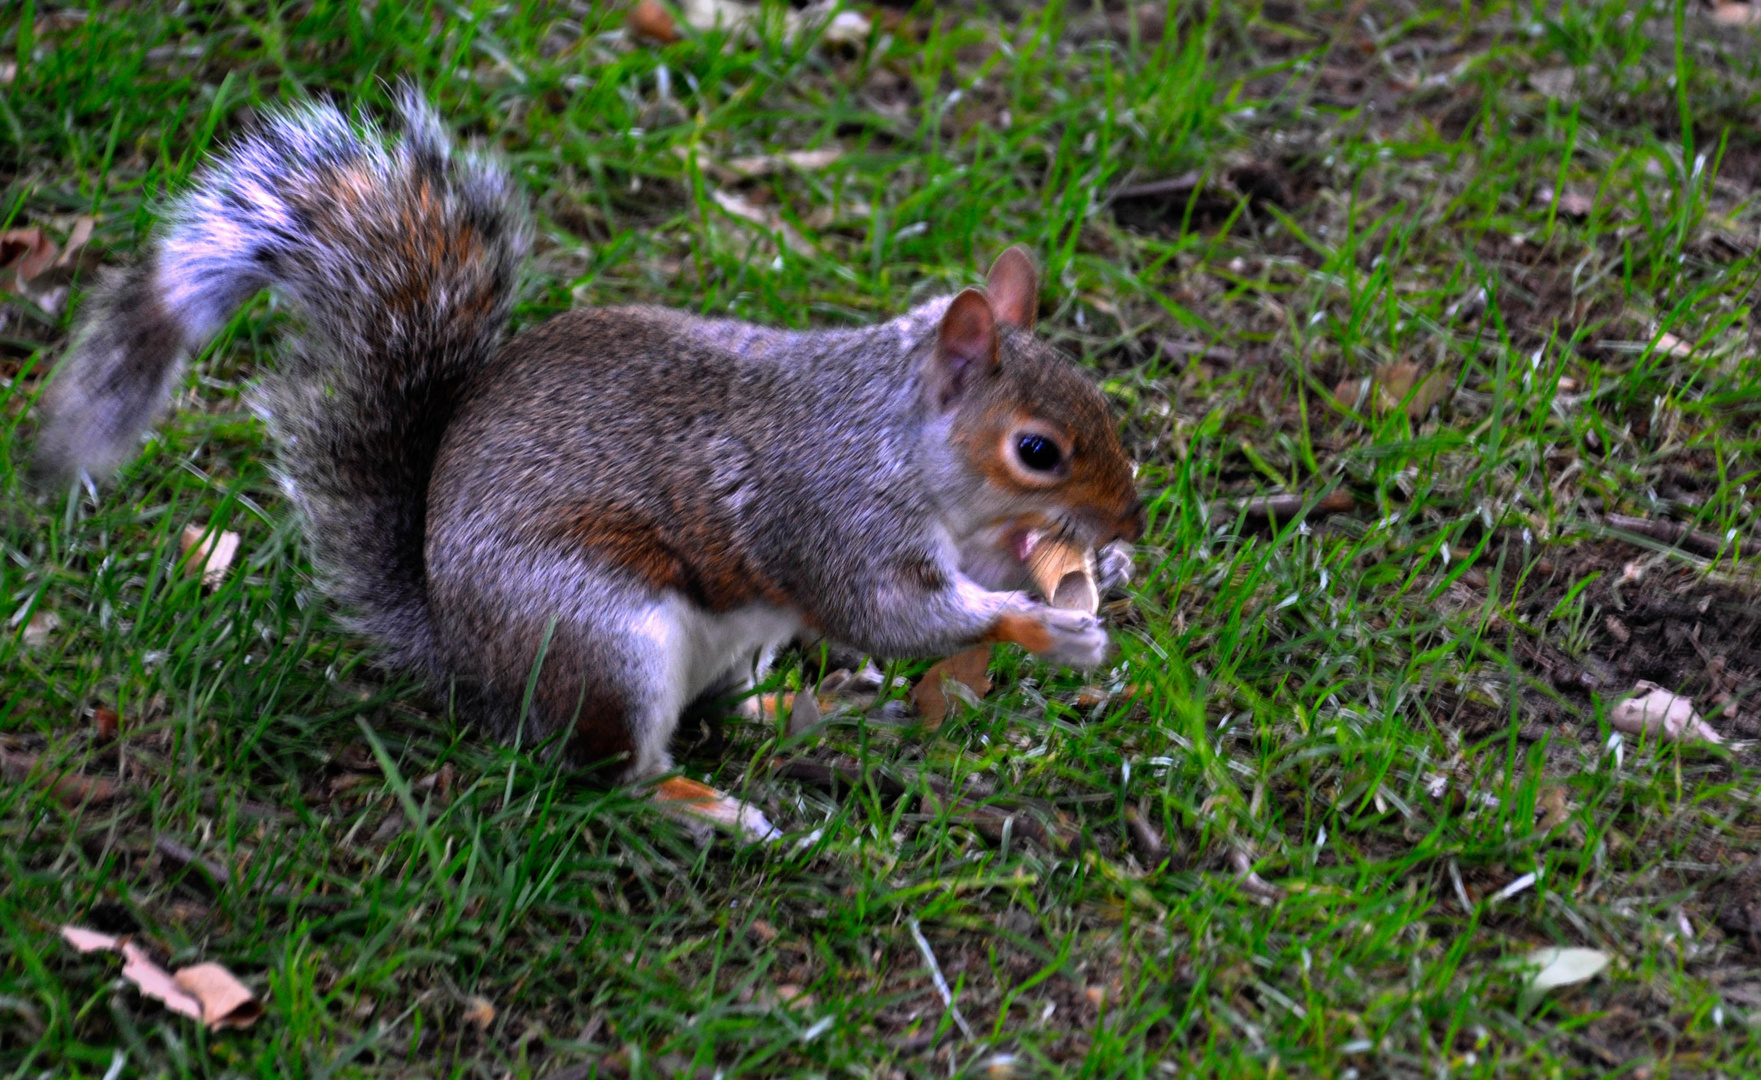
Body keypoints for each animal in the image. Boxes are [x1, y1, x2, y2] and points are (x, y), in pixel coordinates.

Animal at [37, 92, 1155, 835]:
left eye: (1101, 406)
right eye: (1038, 450)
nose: (1127, 521)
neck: (896, 437)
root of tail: (468, 657)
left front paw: (1087, 571)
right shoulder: (829, 509)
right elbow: (891, 611)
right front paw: (1043, 626)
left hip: (717, 647)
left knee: (722, 709)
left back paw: (803, 707)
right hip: (603, 638)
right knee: (611, 770)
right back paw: (702, 807)